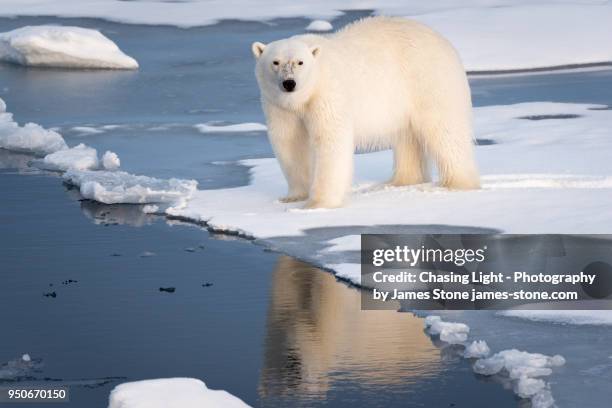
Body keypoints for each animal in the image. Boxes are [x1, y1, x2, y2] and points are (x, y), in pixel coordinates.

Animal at [251, 16, 480, 209]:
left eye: (300, 62)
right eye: (275, 62)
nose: (289, 83)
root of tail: (444, 42)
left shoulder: (328, 94)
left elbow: (330, 141)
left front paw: (318, 203)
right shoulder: (279, 106)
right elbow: (289, 143)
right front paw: (294, 196)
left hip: (428, 80)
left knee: (445, 131)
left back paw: (456, 183)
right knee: (407, 137)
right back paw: (399, 181)